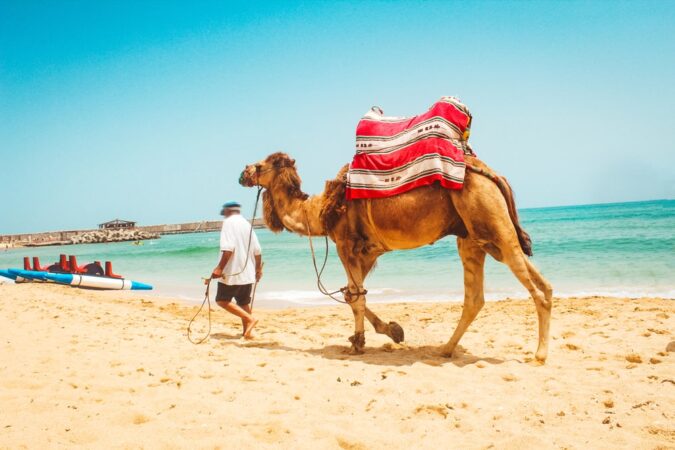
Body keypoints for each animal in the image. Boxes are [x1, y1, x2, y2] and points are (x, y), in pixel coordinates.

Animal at [240, 151, 552, 362]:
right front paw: (392, 331)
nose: (242, 173)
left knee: (535, 288)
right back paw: (445, 349)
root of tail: (494, 175)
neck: (319, 211)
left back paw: (539, 354)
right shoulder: (368, 251)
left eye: (261, 164)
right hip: (475, 239)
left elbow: (355, 298)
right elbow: (353, 294)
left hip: (491, 222)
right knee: (489, 295)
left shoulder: (346, 244)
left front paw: (360, 343)